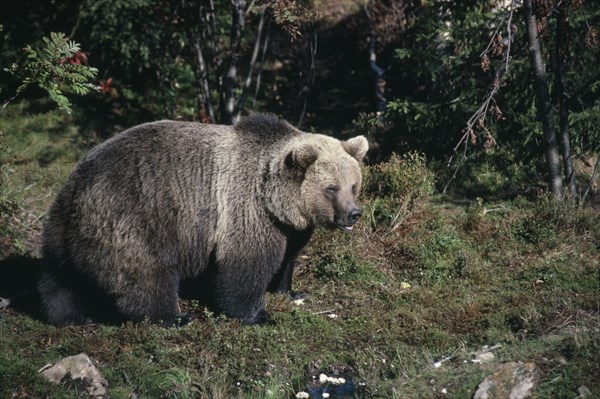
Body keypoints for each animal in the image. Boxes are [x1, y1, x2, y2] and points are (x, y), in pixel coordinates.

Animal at [39, 114, 368, 326]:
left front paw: (292, 291)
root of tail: (75, 188)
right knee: (146, 273)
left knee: (60, 277)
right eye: (331, 188)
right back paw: (173, 317)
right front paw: (258, 314)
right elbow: (245, 265)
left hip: (63, 231)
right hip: (133, 216)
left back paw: (69, 316)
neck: (277, 202)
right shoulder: (245, 210)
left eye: (353, 185)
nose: (353, 213)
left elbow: (288, 257)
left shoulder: (288, 227)